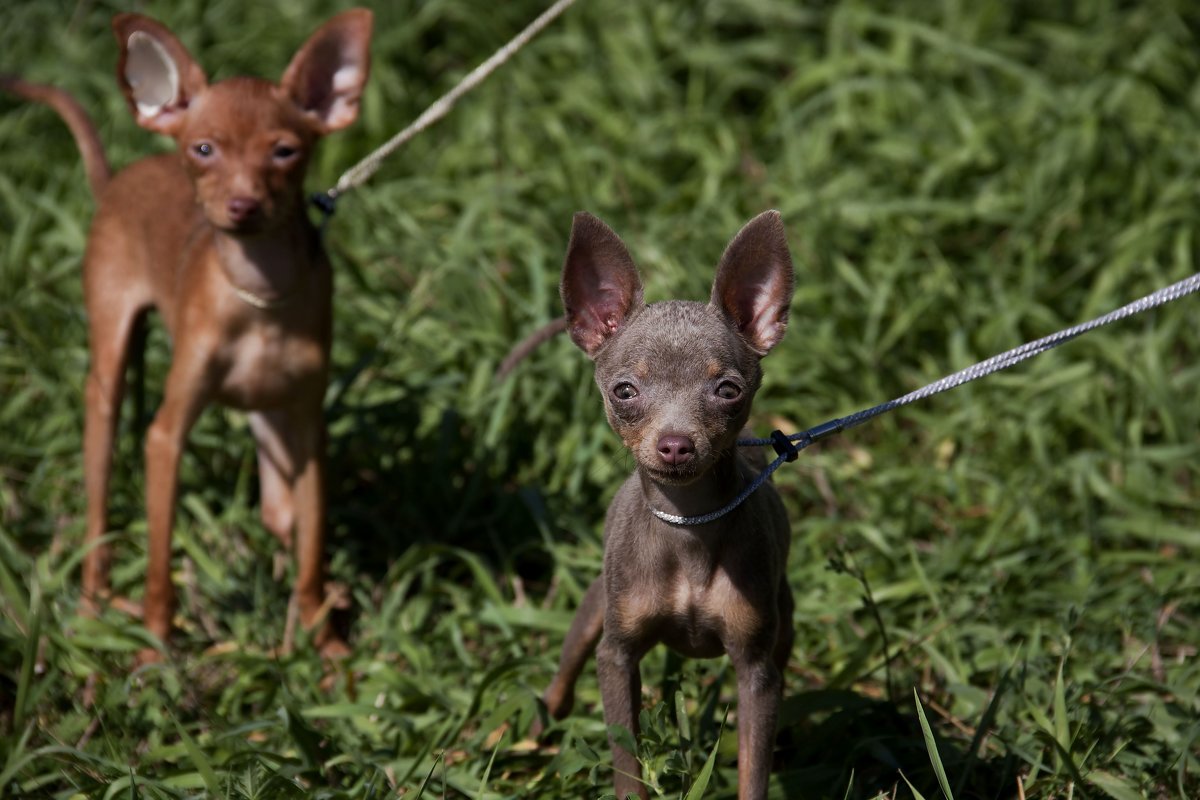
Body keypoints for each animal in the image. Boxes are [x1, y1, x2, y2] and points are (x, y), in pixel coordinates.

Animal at [1, 10, 369, 662]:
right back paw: (93, 609)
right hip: (108, 381)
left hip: (271, 430)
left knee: (280, 516)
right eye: (204, 150)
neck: (259, 294)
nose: (243, 205)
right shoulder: (165, 437)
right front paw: (155, 647)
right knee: (98, 518)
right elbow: (158, 562)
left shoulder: (309, 432)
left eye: (285, 151)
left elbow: (310, 557)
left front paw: (325, 648)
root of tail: (118, 179)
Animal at [542, 209, 796, 796]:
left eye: (728, 391)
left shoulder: (756, 671)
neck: (688, 523)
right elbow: (628, 765)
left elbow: (753, 770)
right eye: (624, 391)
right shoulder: (616, 658)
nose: (676, 444)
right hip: (597, 605)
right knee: (567, 669)